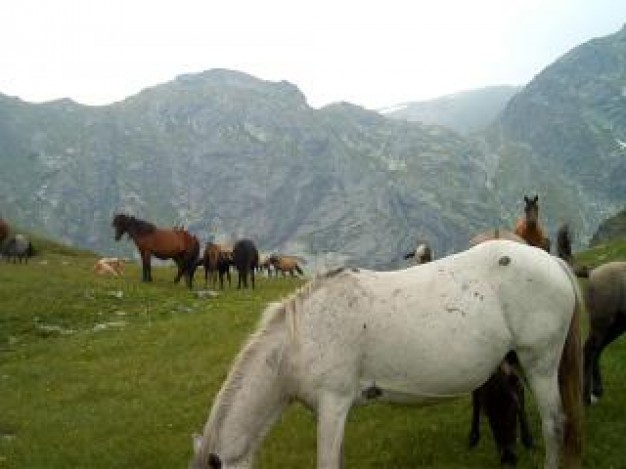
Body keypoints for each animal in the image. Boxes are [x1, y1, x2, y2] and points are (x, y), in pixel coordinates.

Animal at [189, 241, 580, 468]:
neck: (299, 341)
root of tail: (553, 262)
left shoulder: (333, 403)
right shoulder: (334, 411)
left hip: (540, 362)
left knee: (554, 424)